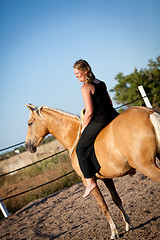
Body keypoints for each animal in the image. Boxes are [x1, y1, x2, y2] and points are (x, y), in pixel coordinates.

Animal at [25, 103, 160, 240]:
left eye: (29, 123)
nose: (27, 145)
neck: (74, 137)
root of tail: (148, 112)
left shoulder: (89, 181)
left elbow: (103, 205)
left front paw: (114, 232)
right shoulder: (107, 178)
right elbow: (116, 199)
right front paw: (128, 224)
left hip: (146, 166)